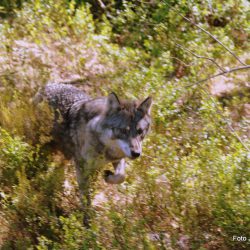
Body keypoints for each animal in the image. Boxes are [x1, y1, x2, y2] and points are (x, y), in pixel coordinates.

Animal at [35, 83, 152, 226]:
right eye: (123, 130)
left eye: (140, 131)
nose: (136, 153)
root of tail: (47, 85)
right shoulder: (82, 167)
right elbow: (86, 197)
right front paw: (87, 221)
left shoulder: (116, 158)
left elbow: (121, 176)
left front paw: (108, 176)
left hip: (66, 155)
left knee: (58, 170)